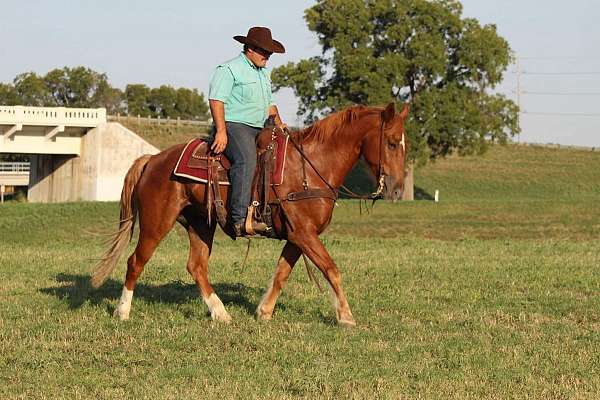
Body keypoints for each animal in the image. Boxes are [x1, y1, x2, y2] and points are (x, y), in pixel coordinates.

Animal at [91, 101, 410, 326]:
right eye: (392, 142)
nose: (397, 190)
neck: (311, 166)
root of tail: (153, 159)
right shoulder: (304, 234)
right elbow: (331, 269)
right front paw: (345, 316)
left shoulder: (297, 237)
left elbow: (281, 273)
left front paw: (263, 311)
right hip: (157, 223)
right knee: (135, 262)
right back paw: (122, 312)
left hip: (200, 224)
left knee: (196, 266)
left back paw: (221, 314)